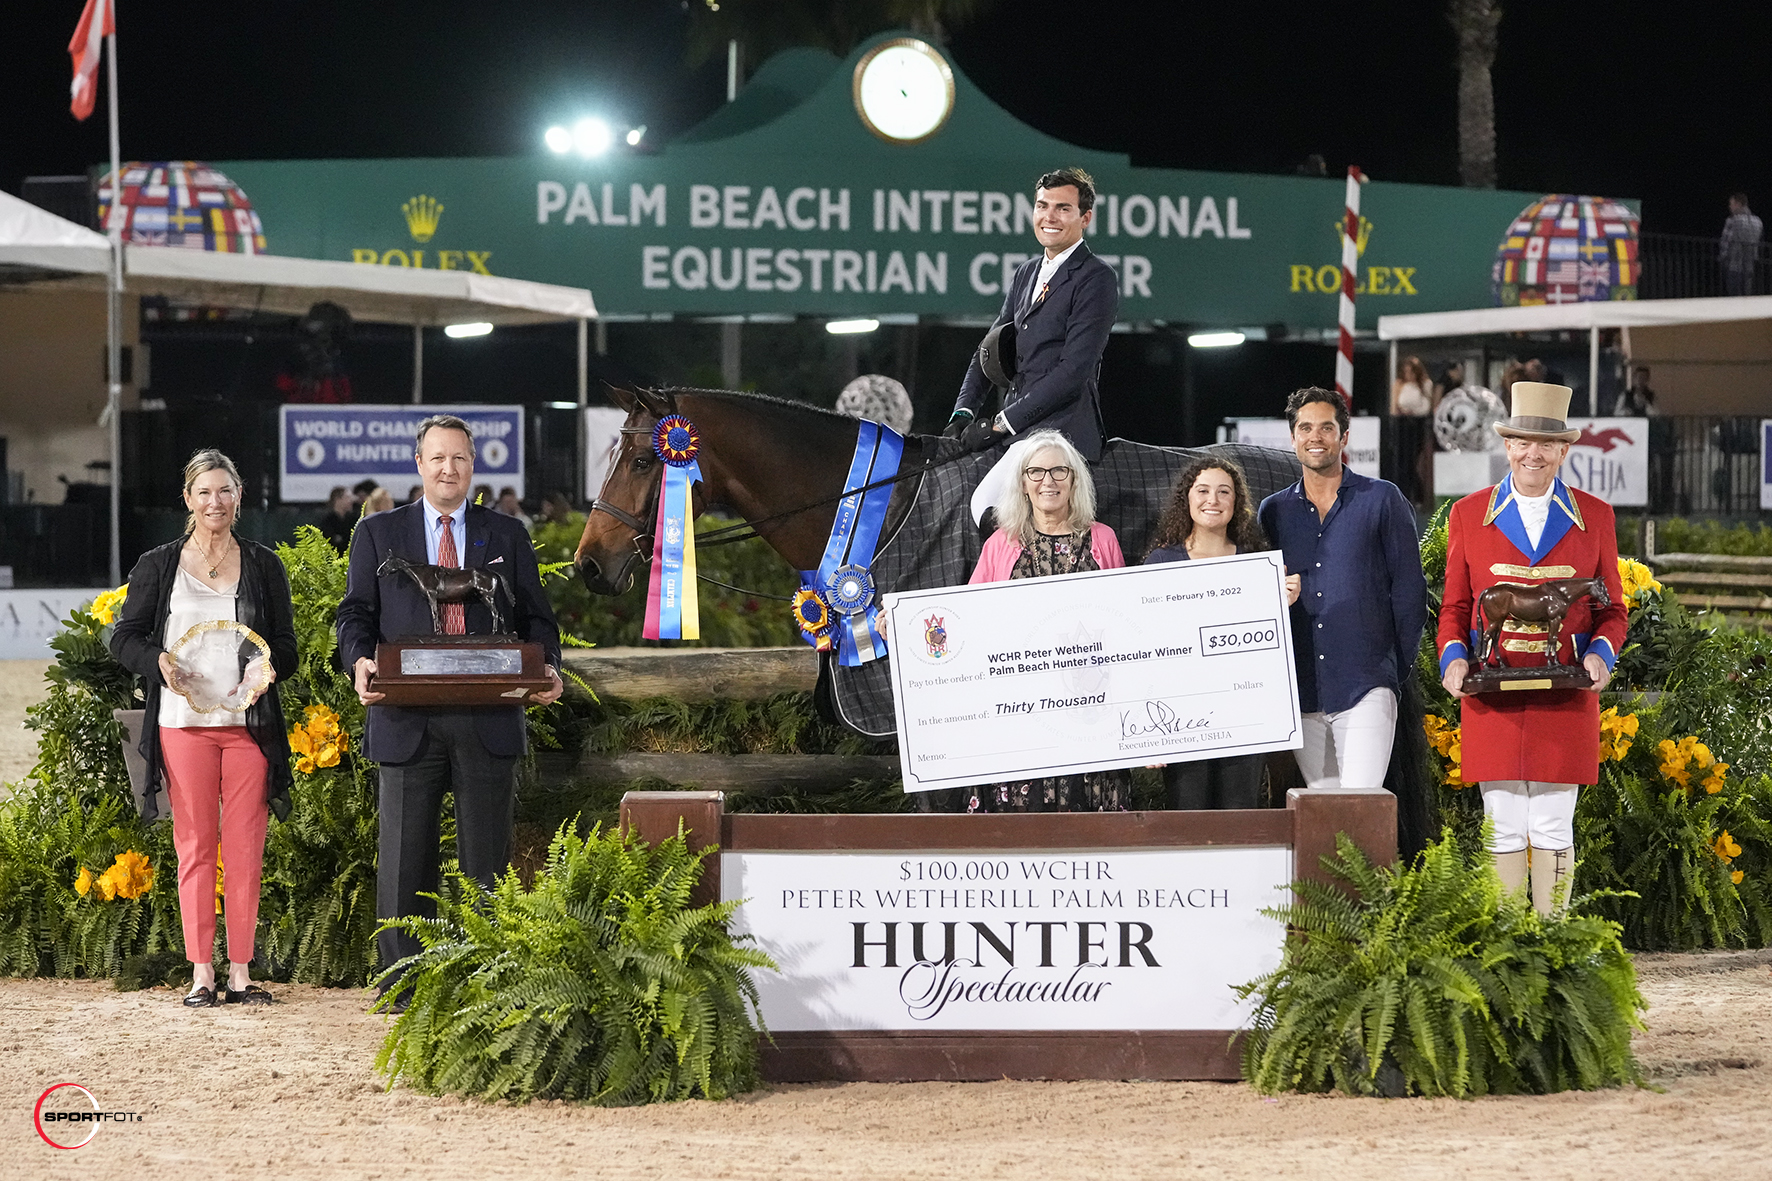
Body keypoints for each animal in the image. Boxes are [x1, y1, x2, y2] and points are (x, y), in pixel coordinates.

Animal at [377, 553, 510, 634]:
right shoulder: (435, 600)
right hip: (484, 597)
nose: (379, 572)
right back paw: (503, 632)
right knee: (499, 613)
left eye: (388, 562)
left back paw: (493, 632)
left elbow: (435, 614)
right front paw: (440, 632)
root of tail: (491, 573)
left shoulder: (432, 597)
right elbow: (439, 615)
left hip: (487, 596)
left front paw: (437, 632)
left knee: (495, 612)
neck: (422, 573)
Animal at [1474, 574, 1616, 666]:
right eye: (1601, 587)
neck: (1561, 594)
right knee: (1486, 637)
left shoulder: (1553, 620)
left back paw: (1501, 664)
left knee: (1495, 638)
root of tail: (1487, 591)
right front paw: (1553, 662)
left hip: (1499, 621)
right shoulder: (1554, 619)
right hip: (1494, 621)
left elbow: (1551, 638)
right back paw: (1485, 663)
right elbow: (1552, 638)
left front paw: (1553, 661)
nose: (1608, 602)